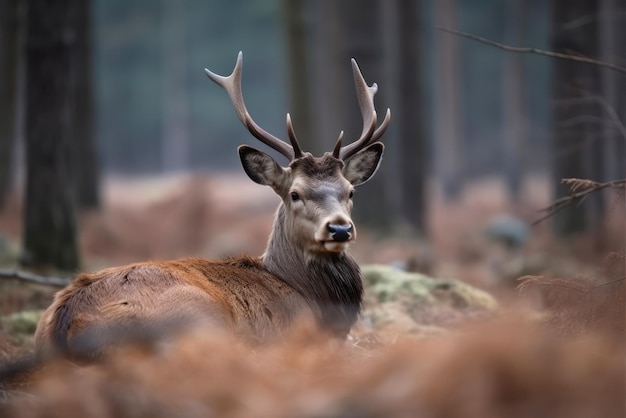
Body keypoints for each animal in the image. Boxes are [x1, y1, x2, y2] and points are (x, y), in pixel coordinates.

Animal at [34, 51, 388, 360]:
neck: (310, 299)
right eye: (295, 194)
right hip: (195, 319)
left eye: (350, 192)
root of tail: (66, 324)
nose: (339, 228)